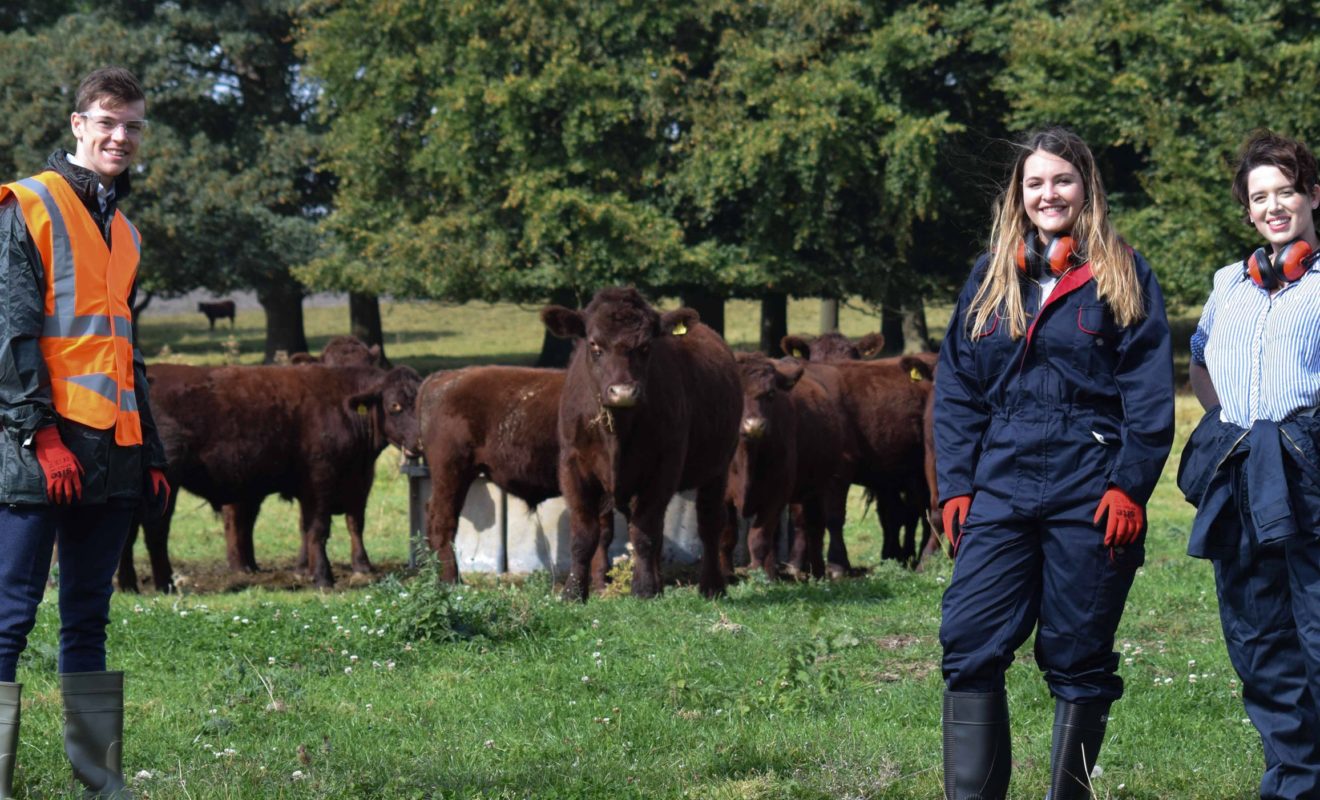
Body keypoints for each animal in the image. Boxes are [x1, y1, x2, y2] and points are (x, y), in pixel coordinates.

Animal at [538, 290, 744, 601]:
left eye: (646, 346)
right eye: (594, 344)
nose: (623, 391)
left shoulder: (664, 466)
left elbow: (644, 531)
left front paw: (644, 589)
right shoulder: (572, 465)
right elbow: (584, 534)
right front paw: (574, 592)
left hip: (718, 467)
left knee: (709, 522)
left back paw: (711, 586)